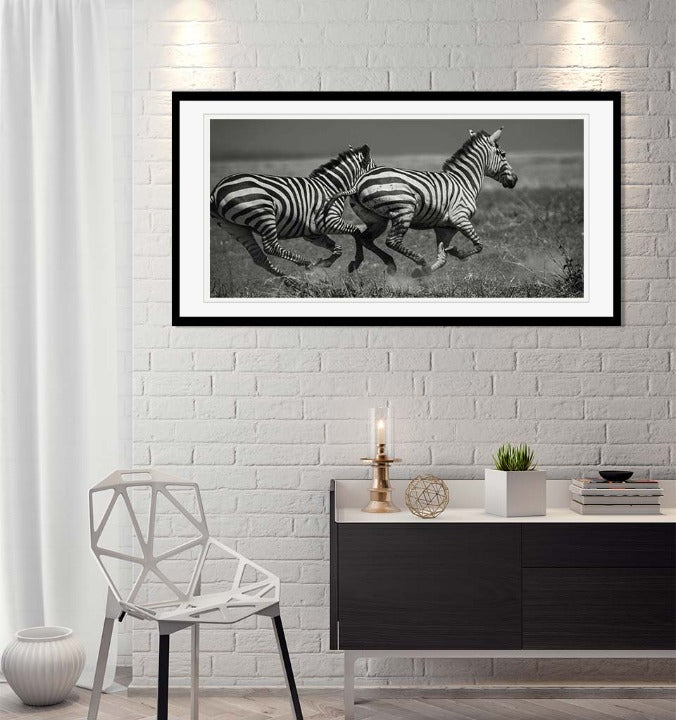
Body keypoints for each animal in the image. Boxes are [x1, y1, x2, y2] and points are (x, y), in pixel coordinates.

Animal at [209, 145, 380, 281]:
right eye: (375, 171)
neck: (331, 187)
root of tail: (216, 191)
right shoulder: (328, 221)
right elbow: (356, 232)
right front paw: (356, 262)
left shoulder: (313, 233)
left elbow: (338, 249)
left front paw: (324, 263)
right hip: (263, 213)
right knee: (271, 247)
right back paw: (305, 263)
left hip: (234, 226)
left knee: (259, 257)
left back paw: (291, 281)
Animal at [322, 127, 517, 276]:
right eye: (503, 154)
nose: (514, 180)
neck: (464, 182)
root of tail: (358, 182)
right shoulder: (460, 218)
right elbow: (478, 245)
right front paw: (455, 253)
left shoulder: (445, 227)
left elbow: (442, 258)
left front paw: (424, 273)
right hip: (404, 209)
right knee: (392, 241)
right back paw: (419, 261)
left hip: (377, 219)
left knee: (364, 238)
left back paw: (365, 263)